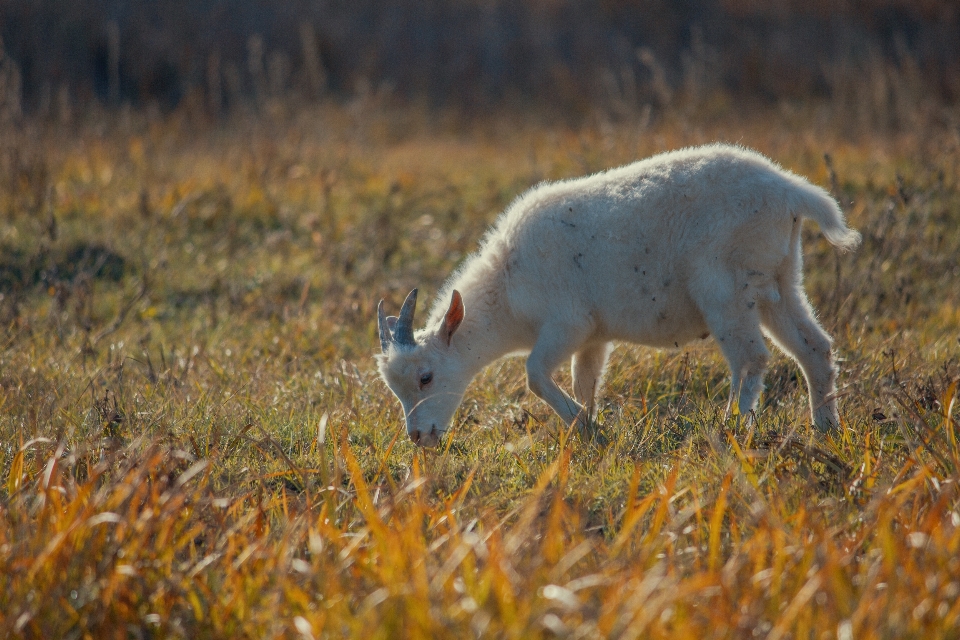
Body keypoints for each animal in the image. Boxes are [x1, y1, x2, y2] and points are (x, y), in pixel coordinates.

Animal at [376, 144, 864, 444]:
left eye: (426, 377)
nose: (419, 437)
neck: (507, 288)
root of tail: (791, 194)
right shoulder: (594, 339)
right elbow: (584, 381)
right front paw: (589, 425)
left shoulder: (568, 323)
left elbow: (534, 374)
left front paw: (585, 428)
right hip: (780, 282)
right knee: (815, 348)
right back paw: (825, 428)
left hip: (725, 290)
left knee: (751, 358)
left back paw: (732, 427)